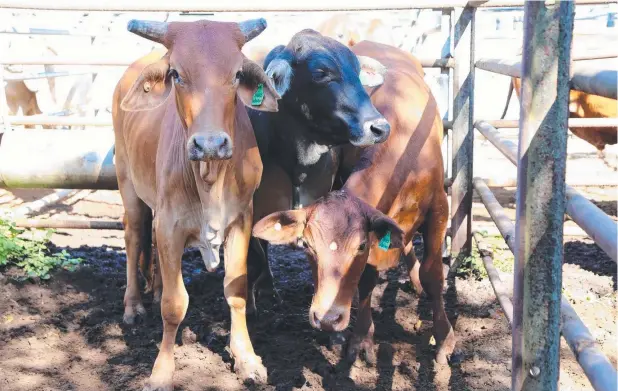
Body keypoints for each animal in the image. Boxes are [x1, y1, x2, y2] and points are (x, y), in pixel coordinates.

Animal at [112, 19, 280, 391]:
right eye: (176, 73)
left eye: (236, 74)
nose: (210, 144)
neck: (210, 178)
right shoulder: (170, 225)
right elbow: (174, 304)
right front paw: (161, 371)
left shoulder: (241, 219)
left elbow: (236, 290)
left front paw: (247, 359)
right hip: (128, 184)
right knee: (133, 237)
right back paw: (133, 305)